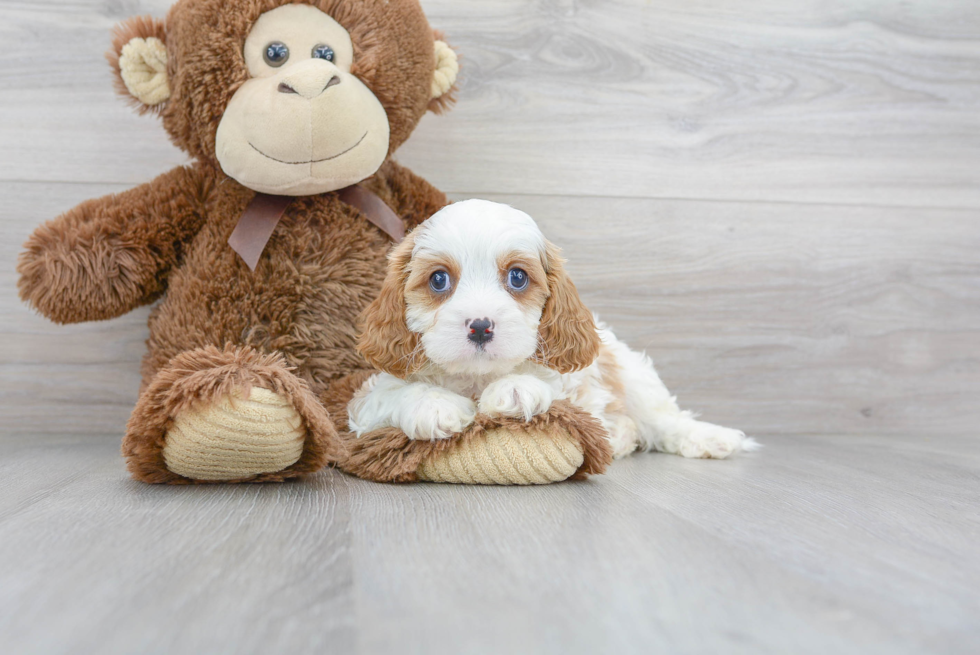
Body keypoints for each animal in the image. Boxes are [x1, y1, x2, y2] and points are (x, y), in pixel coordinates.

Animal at [348, 200, 760, 462]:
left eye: (517, 277)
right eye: (438, 279)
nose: (480, 326)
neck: (477, 378)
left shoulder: (577, 385)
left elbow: (554, 389)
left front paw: (516, 388)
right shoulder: (365, 403)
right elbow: (392, 393)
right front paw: (433, 404)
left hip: (633, 373)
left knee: (662, 419)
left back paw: (708, 438)